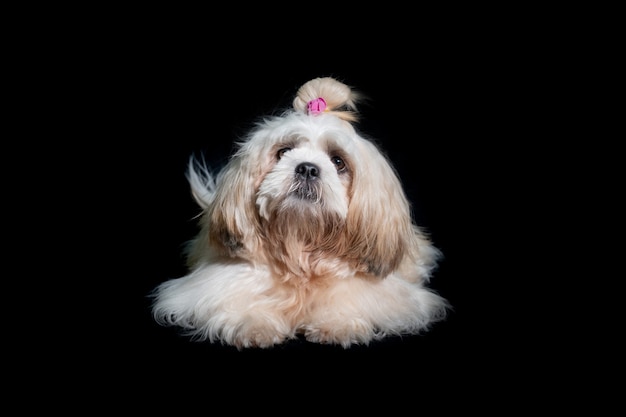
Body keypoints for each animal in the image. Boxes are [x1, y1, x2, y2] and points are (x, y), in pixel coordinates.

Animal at [149, 75, 446, 348]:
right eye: (283, 152)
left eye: (338, 161)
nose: (307, 168)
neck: (300, 242)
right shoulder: (214, 285)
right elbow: (237, 300)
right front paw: (253, 323)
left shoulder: (382, 294)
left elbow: (350, 299)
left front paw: (336, 323)